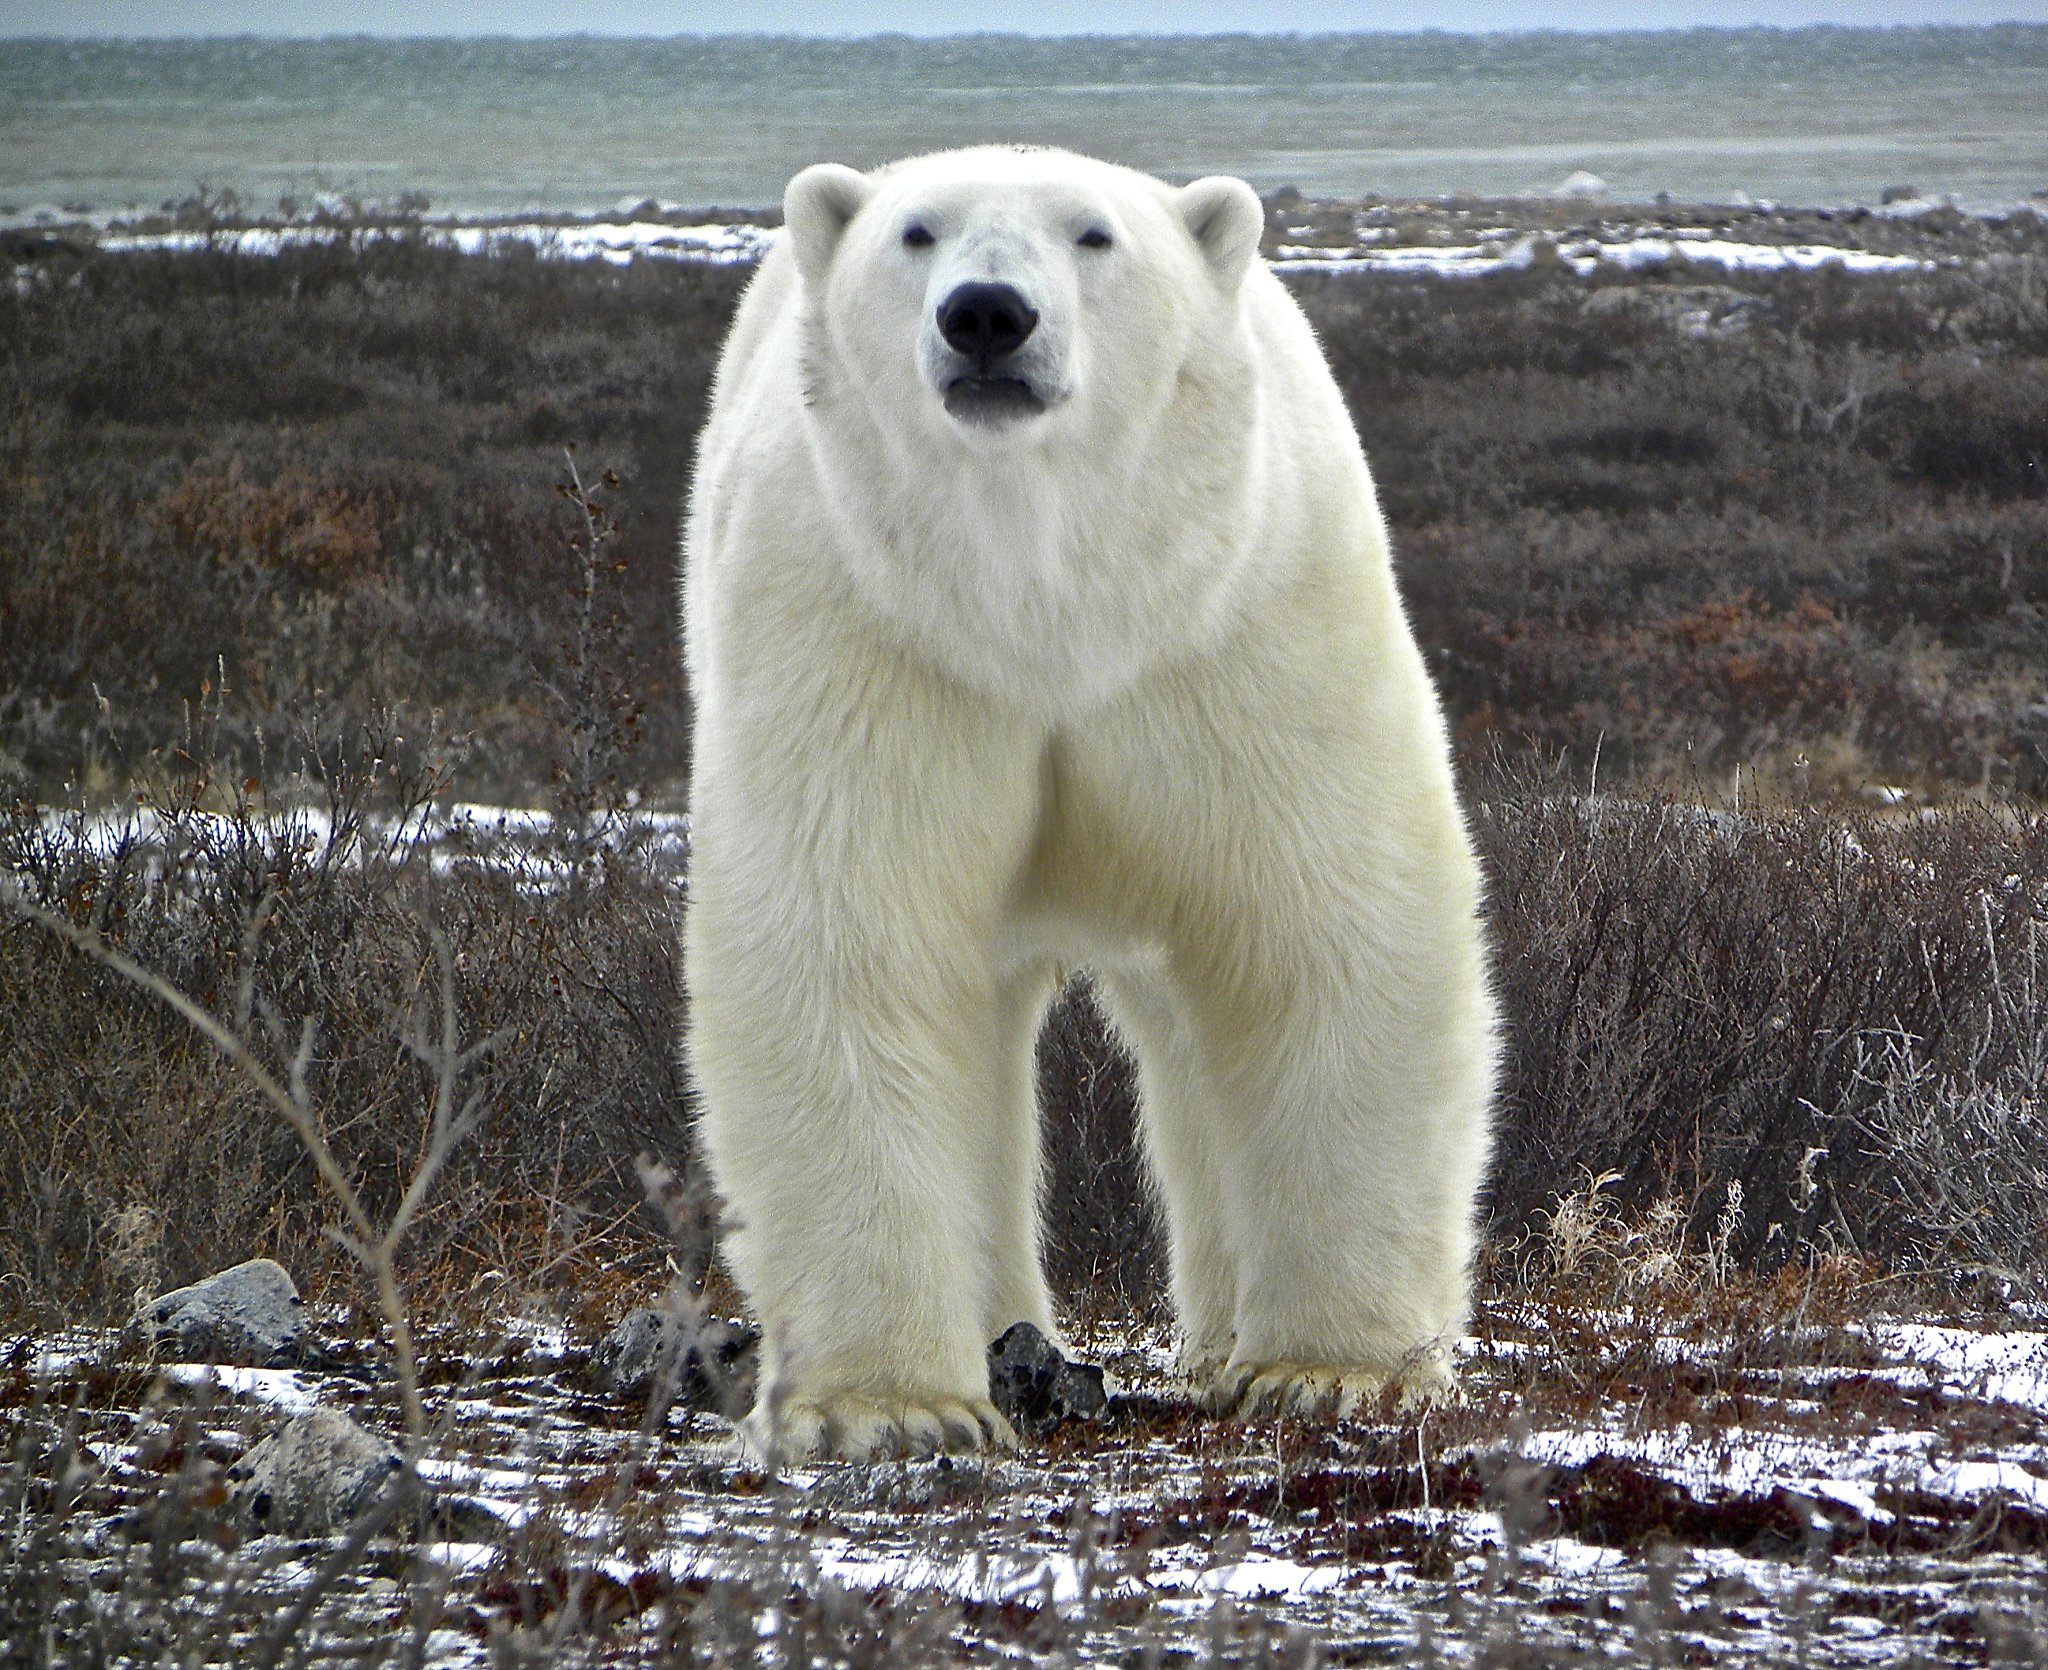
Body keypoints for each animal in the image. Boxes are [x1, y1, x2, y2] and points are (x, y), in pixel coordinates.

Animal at [679, 153, 1499, 1458]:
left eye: (1094, 235)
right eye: (916, 233)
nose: (987, 314)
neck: (1050, 606)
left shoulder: (1231, 635)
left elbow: (1323, 927)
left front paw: (1329, 1372)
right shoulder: (874, 640)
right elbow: (850, 945)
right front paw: (892, 1405)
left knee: (1189, 1024)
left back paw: (1212, 1345)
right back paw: (1010, 1336)